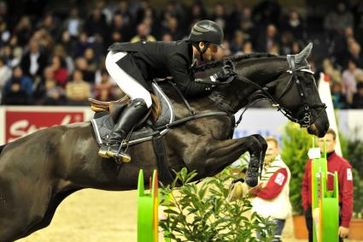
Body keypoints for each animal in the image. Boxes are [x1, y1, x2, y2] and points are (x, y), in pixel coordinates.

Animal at [0, 43, 330, 240]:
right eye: (306, 81)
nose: (323, 125)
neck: (207, 100)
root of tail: (7, 150)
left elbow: (255, 144)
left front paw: (242, 182)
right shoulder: (201, 158)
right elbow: (256, 140)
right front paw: (249, 179)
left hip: (38, 214)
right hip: (23, 214)